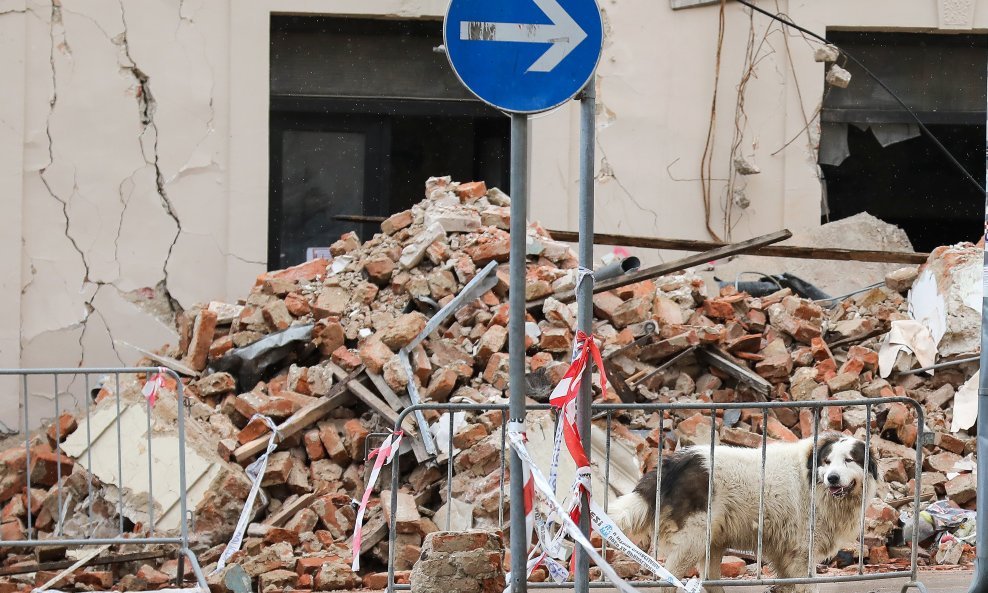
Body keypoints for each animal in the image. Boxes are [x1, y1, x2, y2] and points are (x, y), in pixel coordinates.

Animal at [608, 430, 880, 592]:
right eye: (827, 462)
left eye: (849, 460)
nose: (832, 478)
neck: (811, 479)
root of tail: (675, 462)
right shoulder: (803, 551)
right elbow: (807, 585)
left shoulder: (786, 552)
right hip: (692, 539)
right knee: (670, 578)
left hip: (711, 541)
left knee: (709, 579)